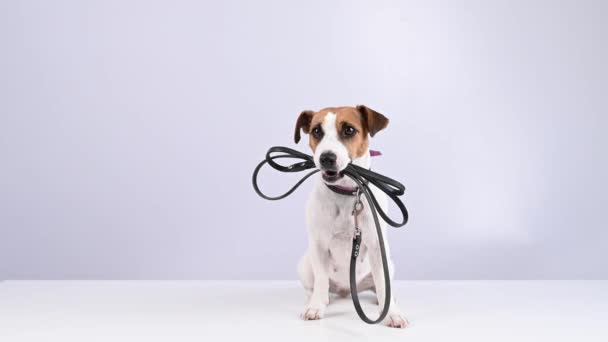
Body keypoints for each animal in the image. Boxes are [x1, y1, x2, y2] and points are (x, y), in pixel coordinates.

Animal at [294, 105, 408, 328]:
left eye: (349, 129)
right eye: (316, 131)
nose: (326, 158)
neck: (347, 193)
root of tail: (347, 290)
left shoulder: (376, 245)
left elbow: (383, 285)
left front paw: (391, 313)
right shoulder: (318, 245)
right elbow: (321, 279)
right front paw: (315, 306)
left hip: (389, 264)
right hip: (304, 265)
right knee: (316, 285)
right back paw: (319, 299)